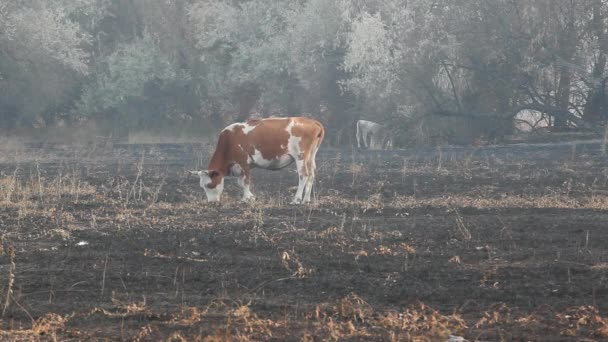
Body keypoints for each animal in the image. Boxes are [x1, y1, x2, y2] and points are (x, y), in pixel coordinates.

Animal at [190, 117, 326, 203]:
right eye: (202, 186)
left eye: (209, 185)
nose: (211, 202)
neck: (229, 141)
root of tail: (312, 121)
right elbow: (240, 183)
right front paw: (251, 196)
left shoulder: (244, 163)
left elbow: (245, 182)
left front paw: (246, 199)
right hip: (311, 156)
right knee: (311, 175)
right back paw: (306, 199)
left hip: (300, 156)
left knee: (303, 175)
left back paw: (296, 199)